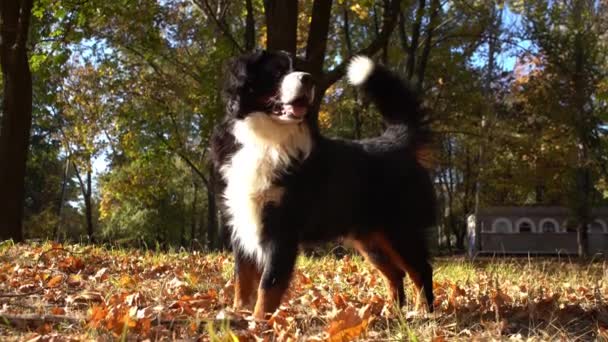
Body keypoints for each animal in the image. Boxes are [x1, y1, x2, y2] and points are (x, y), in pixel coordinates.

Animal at [211, 49, 434, 320]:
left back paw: (424, 313)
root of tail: (396, 141)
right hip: (371, 238)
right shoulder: (242, 223)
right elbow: (242, 278)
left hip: (400, 229)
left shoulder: (282, 229)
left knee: (420, 270)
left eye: (301, 69)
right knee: (396, 273)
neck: (266, 139)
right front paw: (237, 313)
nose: (308, 79)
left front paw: (259, 322)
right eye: (277, 70)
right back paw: (394, 312)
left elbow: (268, 284)